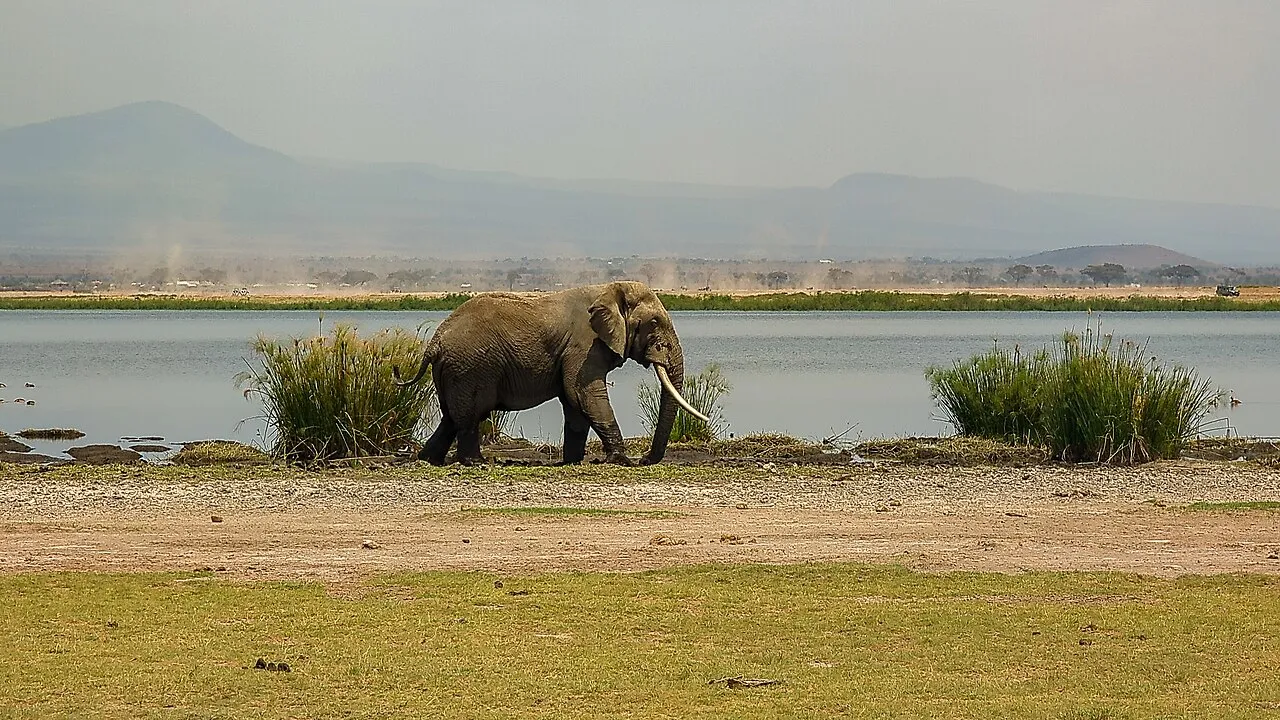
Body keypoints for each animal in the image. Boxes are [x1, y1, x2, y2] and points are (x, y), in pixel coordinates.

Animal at [394, 281, 708, 466]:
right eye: (654, 323)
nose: (644, 459)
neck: (610, 289)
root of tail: (435, 342)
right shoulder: (584, 345)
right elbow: (583, 393)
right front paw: (621, 460)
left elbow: (575, 404)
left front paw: (572, 462)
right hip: (471, 368)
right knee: (470, 416)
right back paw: (476, 462)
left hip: (453, 371)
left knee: (450, 417)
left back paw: (428, 459)